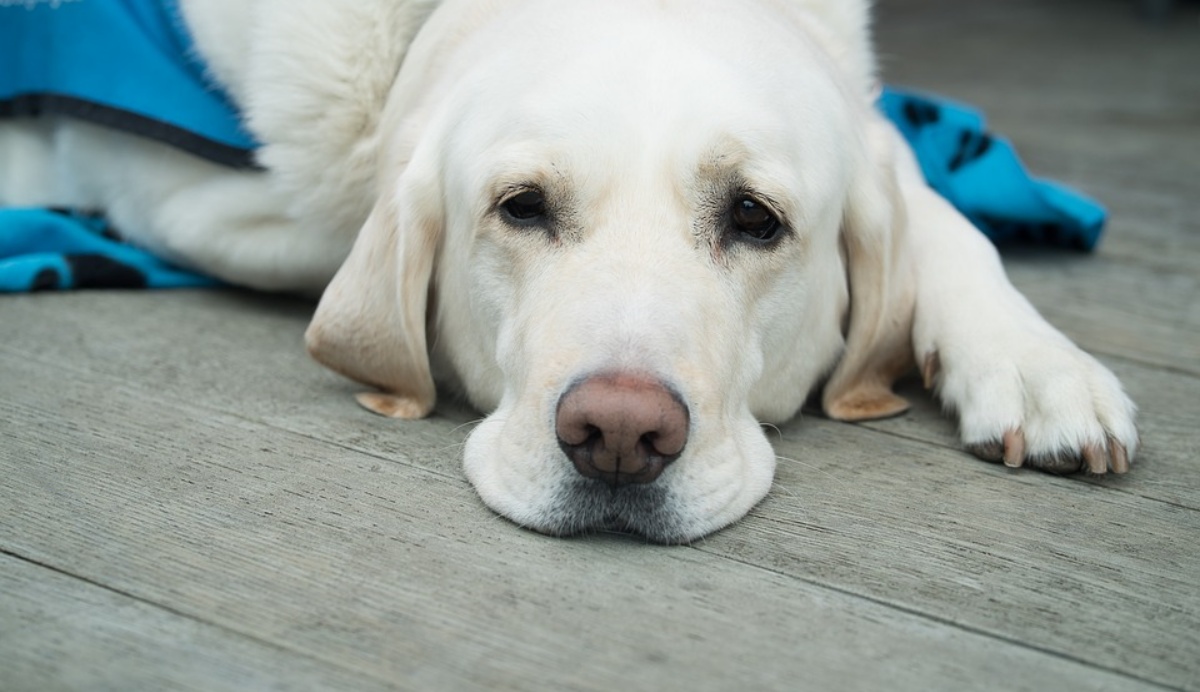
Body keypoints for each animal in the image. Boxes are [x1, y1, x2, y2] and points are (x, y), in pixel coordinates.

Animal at [0, 0, 1137, 542]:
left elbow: (941, 220)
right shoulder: (189, 189)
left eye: (754, 217)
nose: (621, 436)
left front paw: (1039, 364)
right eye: (522, 207)